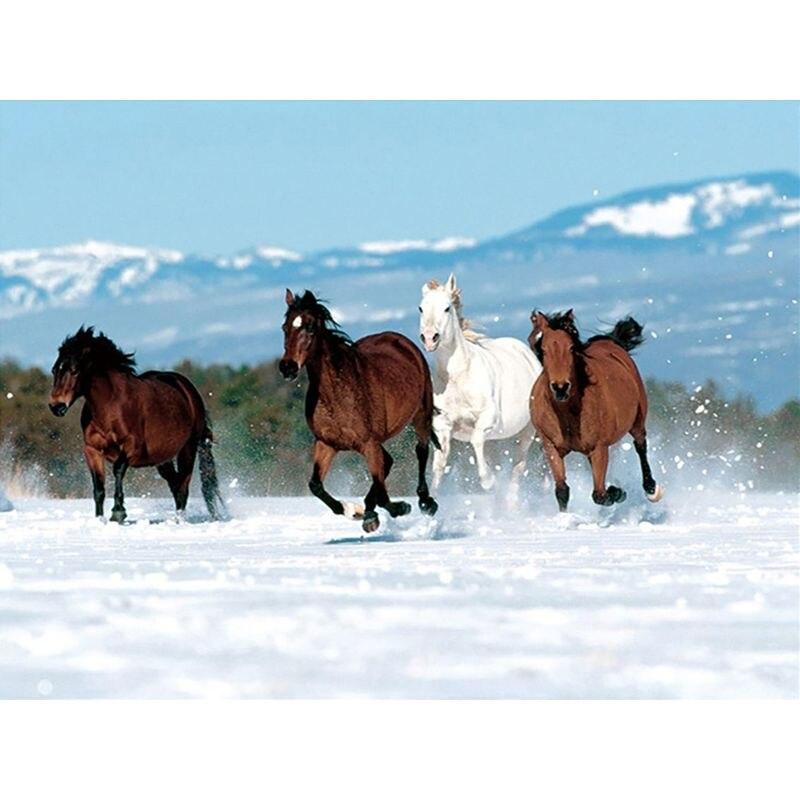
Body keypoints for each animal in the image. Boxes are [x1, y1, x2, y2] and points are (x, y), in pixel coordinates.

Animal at [48, 326, 227, 523]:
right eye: (54, 370)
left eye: (74, 370)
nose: (56, 406)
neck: (110, 405)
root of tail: (188, 390)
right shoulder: (92, 450)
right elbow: (98, 488)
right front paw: (100, 519)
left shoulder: (131, 446)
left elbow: (118, 469)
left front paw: (118, 512)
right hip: (162, 458)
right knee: (175, 484)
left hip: (188, 448)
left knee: (183, 486)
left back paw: (179, 520)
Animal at [279, 289, 439, 533]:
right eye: (285, 327)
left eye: (310, 327)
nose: (287, 367)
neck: (337, 394)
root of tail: (400, 340)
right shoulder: (326, 444)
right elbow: (315, 485)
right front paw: (354, 511)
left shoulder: (368, 443)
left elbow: (383, 493)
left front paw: (400, 507)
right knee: (387, 463)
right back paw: (368, 512)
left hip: (421, 415)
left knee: (420, 451)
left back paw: (425, 502)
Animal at [418, 273, 542, 502]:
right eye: (421, 308)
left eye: (447, 308)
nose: (430, 338)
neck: (458, 377)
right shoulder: (443, 426)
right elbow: (439, 465)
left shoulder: (487, 419)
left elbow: (475, 441)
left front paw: (488, 481)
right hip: (495, 440)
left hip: (526, 433)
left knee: (517, 469)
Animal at [528, 310, 664, 512]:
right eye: (543, 350)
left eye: (571, 348)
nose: (560, 387)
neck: (567, 413)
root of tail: (610, 341)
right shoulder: (551, 447)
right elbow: (562, 490)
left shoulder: (599, 448)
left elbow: (599, 494)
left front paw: (617, 492)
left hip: (637, 420)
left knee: (640, 446)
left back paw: (651, 489)